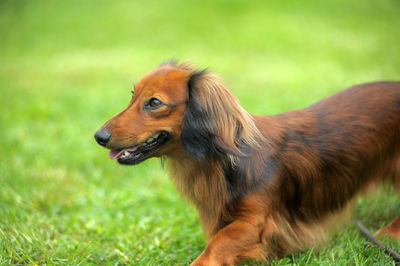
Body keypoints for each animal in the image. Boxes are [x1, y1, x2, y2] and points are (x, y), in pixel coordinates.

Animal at [96, 60, 400, 264]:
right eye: (133, 96)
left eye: (155, 103)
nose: (99, 136)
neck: (222, 163)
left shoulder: (256, 222)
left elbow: (217, 244)